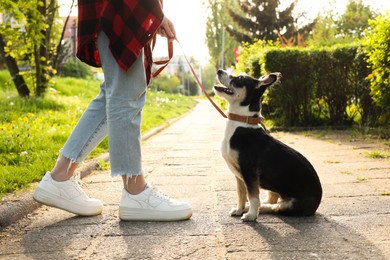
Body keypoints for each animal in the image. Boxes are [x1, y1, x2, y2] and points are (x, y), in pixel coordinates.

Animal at [213, 70, 322, 221]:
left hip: (292, 204)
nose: (219, 71)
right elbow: (241, 194)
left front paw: (251, 215)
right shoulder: (239, 175)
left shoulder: (249, 172)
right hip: (272, 188)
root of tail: (318, 202)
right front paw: (239, 209)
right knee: (271, 199)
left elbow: (252, 196)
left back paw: (255, 209)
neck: (241, 122)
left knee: (275, 206)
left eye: (240, 78)